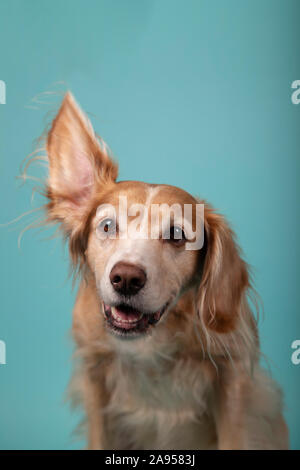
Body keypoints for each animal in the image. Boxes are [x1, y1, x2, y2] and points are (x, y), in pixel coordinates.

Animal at [38, 91, 288, 448]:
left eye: (176, 235)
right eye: (107, 226)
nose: (126, 279)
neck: (152, 341)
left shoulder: (235, 379)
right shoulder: (94, 375)